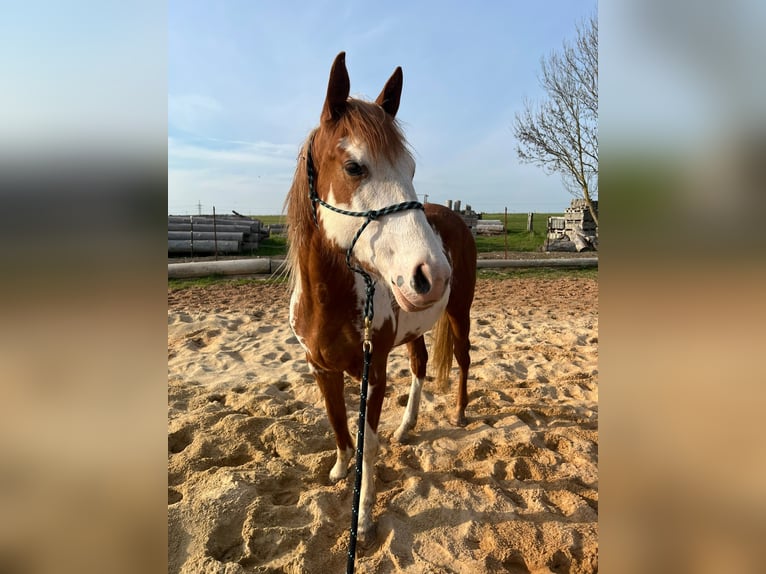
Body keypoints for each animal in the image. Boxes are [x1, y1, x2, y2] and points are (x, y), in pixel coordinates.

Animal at [286, 52, 477, 543]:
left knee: (462, 358)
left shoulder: (374, 374)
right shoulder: (321, 369)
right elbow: (337, 422)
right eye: (354, 167)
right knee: (422, 364)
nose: (434, 274)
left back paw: (460, 413)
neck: (329, 303)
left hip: (460, 311)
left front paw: (364, 517)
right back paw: (407, 427)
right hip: (415, 325)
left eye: (410, 170)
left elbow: (368, 445)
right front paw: (339, 469)